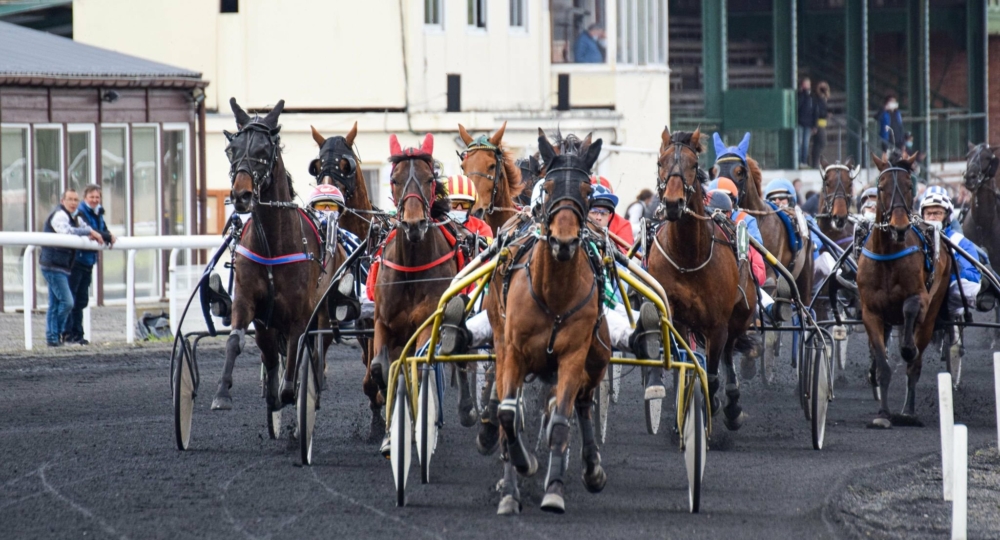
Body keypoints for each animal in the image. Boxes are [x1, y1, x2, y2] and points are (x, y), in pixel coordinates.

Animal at [211, 98, 344, 418]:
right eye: (231, 149)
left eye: (264, 150)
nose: (241, 196)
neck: (273, 244)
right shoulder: (249, 304)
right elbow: (236, 340)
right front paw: (223, 392)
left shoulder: (300, 313)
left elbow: (296, 351)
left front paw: (290, 392)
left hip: (325, 307)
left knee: (317, 346)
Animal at [486, 127, 608, 516]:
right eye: (550, 186)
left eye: (587, 190)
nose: (564, 241)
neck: (553, 292)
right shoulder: (512, 351)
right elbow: (507, 416)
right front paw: (516, 479)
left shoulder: (573, 355)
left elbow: (560, 423)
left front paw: (554, 490)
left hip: (598, 353)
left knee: (582, 402)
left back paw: (591, 468)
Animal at [648, 129, 756, 432]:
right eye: (660, 162)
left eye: (694, 164)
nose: (673, 203)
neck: (688, 256)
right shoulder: (677, 318)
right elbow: (685, 362)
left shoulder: (717, 324)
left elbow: (715, 373)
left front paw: (717, 403)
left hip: (739, 314)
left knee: (729, 352)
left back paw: (732, 405)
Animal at [856, 150, 948, 428]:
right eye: (881, 187)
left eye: (909, 186)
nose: (899, 227)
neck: (888, 254)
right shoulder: (871, 312)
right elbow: (883, 366)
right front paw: (883, 414)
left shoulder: (921, 298)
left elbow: (910, 310)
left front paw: (908, 349)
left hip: (933, 311)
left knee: (914, 365)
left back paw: (908, 411)